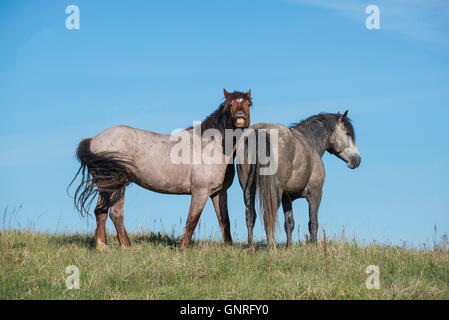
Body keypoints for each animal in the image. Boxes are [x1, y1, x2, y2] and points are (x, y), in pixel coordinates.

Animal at [70, 89, 252, 249]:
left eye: (249, 104)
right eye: (229, 104)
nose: (240, 118)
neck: (211, 146)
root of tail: (94, 139)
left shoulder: (218, 192)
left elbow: (225, 221)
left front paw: (229, 247)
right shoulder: (200, 191)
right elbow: (192, 220)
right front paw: (183, 248)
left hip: (108, 184)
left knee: (104, 212)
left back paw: (110, 246)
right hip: (115, 184)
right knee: (113, 213)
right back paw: (117, 247)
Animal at [236, 110, 358, 248]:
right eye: (348, 133)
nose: (357, 160)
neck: (310, 142)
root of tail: (261, 132)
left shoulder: (287, 198)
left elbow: (289, 224)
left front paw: (289, 247)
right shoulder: (315, 194)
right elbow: (313, 223)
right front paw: (314, 247)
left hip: (248, 189)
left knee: (250, 216)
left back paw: (251, 247)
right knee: (269, 215)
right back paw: (271, 247)